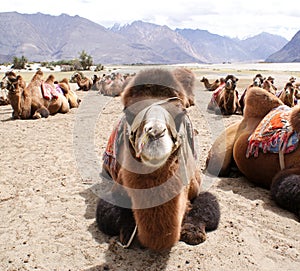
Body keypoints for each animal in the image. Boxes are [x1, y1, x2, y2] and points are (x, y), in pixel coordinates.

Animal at [96, 68, 220, 253]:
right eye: (129, 113)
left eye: (181, 114)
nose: (155, 132)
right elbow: (107, 213)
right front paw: (128, 232)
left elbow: (209, 204)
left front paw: (193, 232)